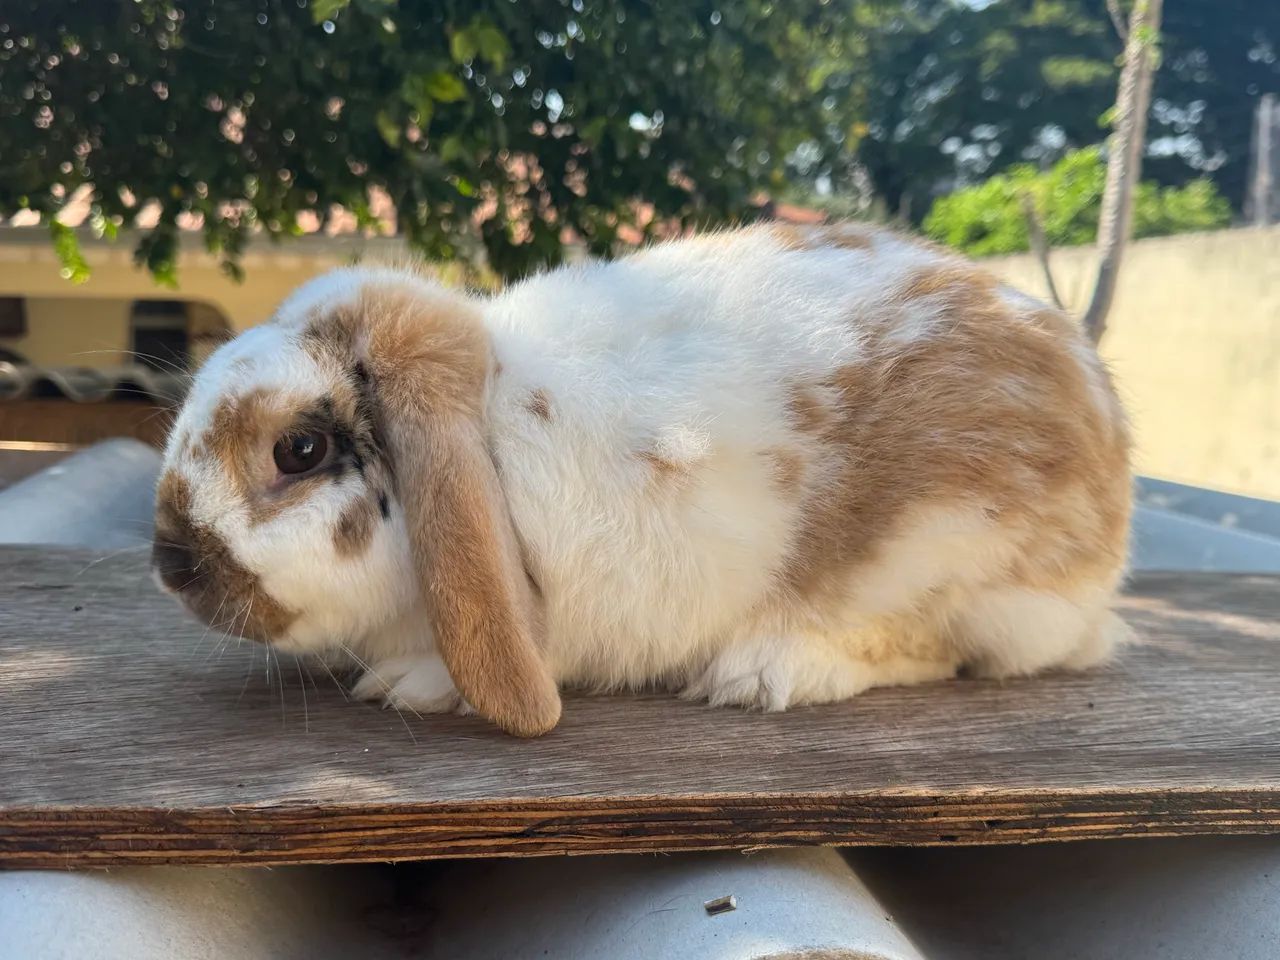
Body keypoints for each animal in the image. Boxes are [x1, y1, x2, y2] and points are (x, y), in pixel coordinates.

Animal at [151, 222, 1132, 737]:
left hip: (951, 553)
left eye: (298, 452)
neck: (491, 429)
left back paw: (768, 670)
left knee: (946, 651)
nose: (171, 563)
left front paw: (409, 684)